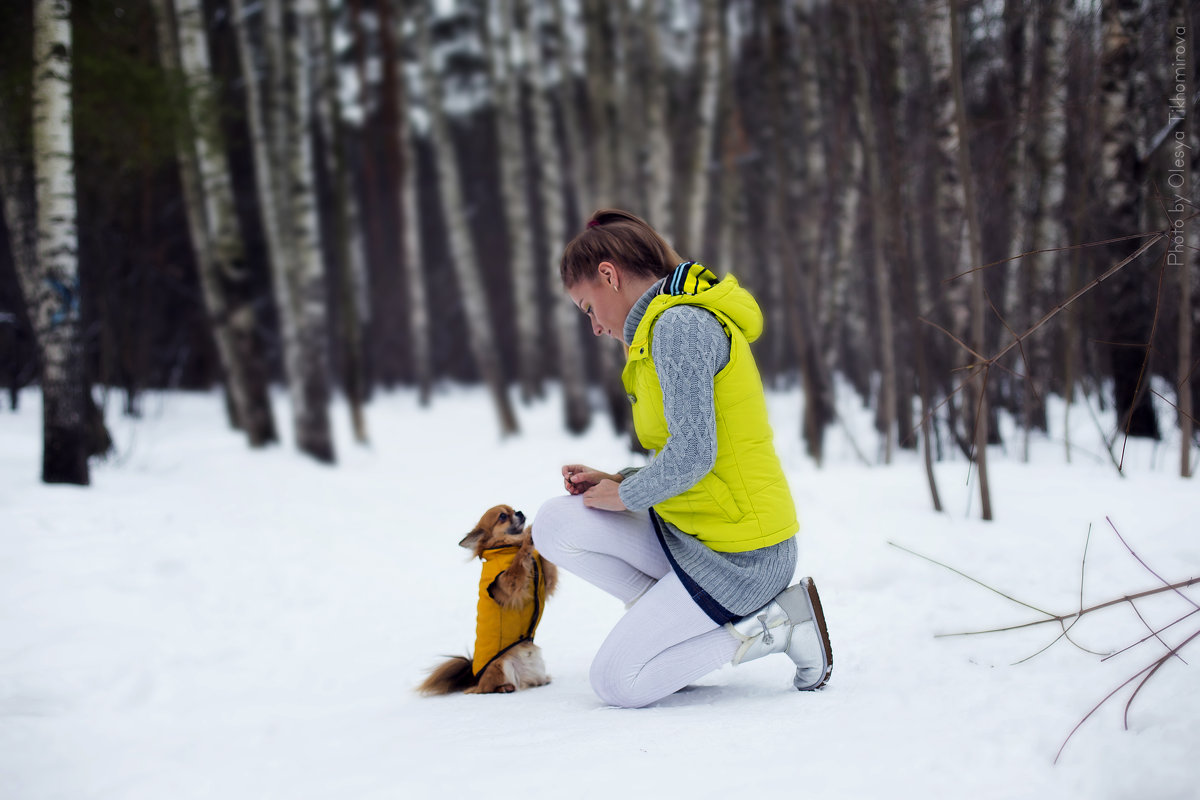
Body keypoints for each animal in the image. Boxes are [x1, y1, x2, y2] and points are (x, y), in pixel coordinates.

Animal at [417, 506, 556, 695]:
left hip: (536, 666)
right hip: (500, 665)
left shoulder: (546, 582)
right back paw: (505, 687)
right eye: (503, 516)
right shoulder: (511, 582)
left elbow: (546, 566)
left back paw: (542, 680)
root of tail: (474, 678)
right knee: (487, 688)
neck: (507, 547)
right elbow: (519, 561)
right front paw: (528, 537)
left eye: (513, 509)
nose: (519, 512)